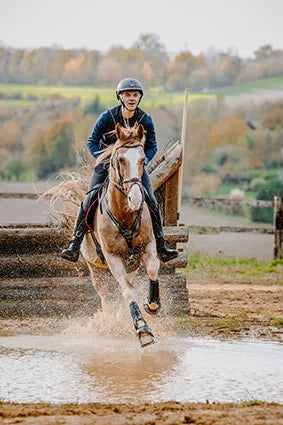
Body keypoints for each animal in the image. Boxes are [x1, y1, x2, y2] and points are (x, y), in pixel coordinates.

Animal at [81, 122, 162, 348]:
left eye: (142, 159)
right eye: (120, 160)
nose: (136, 199)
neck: (124, 214)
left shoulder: (148, 246)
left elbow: (153, 269)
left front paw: (152, 304)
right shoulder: (112, 257)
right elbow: (127, 291)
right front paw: (143, 330)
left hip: (131, 266)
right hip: (95, 267)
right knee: (106, 296)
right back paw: (108, 322)